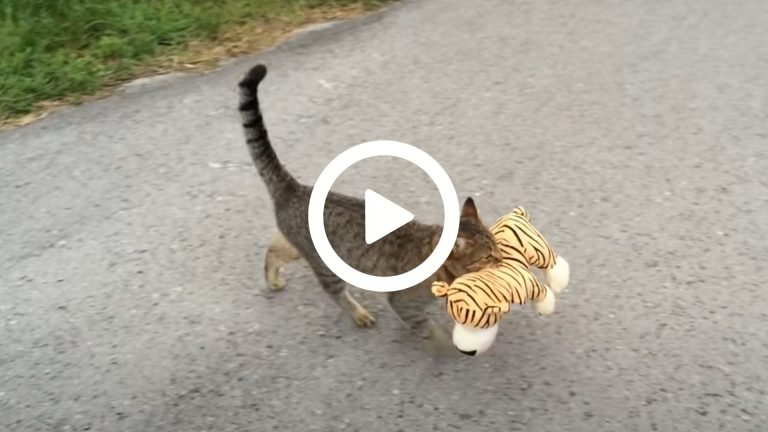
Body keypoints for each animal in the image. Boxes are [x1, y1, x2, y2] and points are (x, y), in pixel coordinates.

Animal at [237, 64, 498, 340]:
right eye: (487, 256)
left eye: (497, 247)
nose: (502, 259)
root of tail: (294, 188)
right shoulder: (404, 304)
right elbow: (432, 333)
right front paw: (447, 343)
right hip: (325, 266)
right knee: (335, 292)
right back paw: (358, 314)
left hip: (298, 247)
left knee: (274, 249)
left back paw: (272, 278)